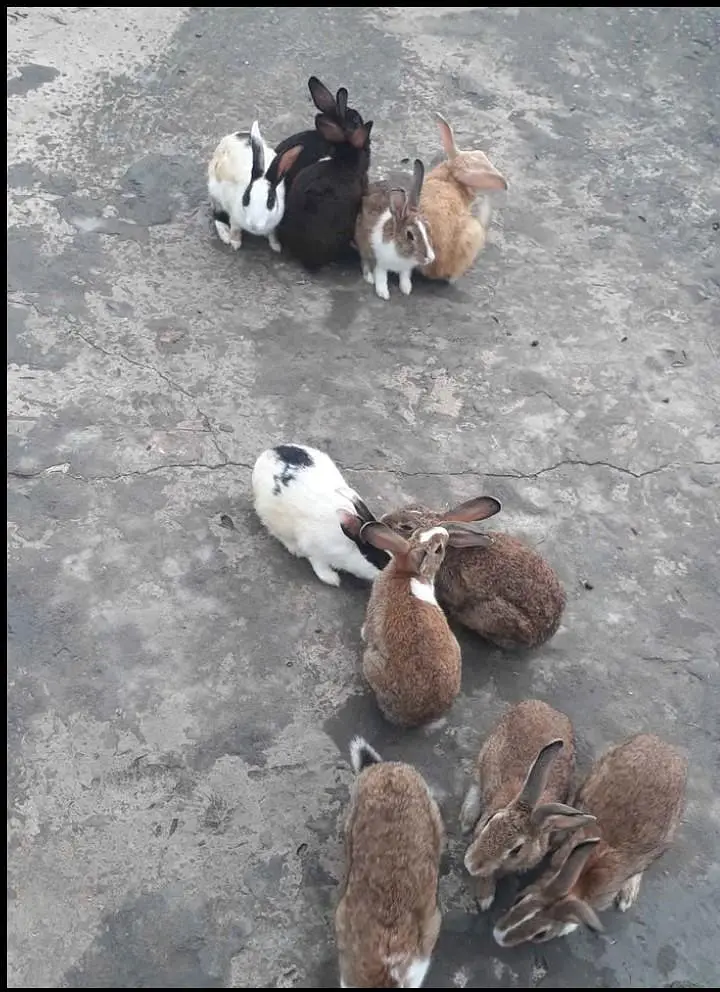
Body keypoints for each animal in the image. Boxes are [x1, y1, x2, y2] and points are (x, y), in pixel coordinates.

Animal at [208, 120, 303, 252]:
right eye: (246, 198)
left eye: (271, 201)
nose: (254, 225)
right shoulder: (234, 217)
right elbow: (235, 230)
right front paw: (235, 243)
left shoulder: (273, 225)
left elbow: (272, 234)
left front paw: (276, 246)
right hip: (215, 194)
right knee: (217, 215)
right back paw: (225, 235)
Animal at [251, 443, 389, 586]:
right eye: (381, 561)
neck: (348, 545)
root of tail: (268, 453)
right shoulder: (315, 550)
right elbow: (319, 565)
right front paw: (332, 579)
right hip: (272, 517)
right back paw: (295, 549)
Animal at [354, 159, 435, 300]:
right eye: (410, 235)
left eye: (428, 228)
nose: (430, 258)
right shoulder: (379, 262)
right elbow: (381, 278)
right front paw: (383, 294)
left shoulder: (406, 269)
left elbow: (404, 277)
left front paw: (406, 289)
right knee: (364, 261)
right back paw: (369, 278)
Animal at [460, 699, 595, 911]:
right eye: (490, 820)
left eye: (516, 850)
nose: (471, 864)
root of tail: (542, 705)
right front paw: (485, 897)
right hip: (486, 753)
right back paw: (467, 819)